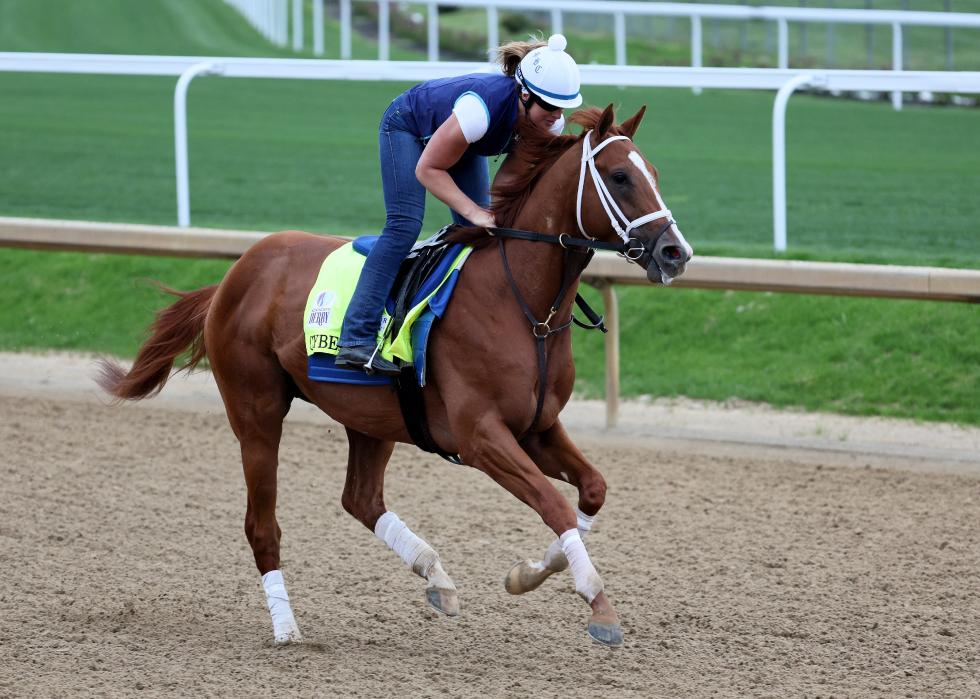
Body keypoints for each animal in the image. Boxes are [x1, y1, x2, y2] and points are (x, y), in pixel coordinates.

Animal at [97, 105, 688, 652]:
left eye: (656, 171)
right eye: (620, 176)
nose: (675, 251)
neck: (523, 306)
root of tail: (232, 276)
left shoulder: (536, 427)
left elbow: (590, 491)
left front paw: (528, 574)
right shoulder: (481, 436)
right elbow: (554, 503)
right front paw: (600, 605)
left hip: (370, 416)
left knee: (360, 499)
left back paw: (436, 576)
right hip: (256, 411)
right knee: (261, 524)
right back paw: (287, 629)